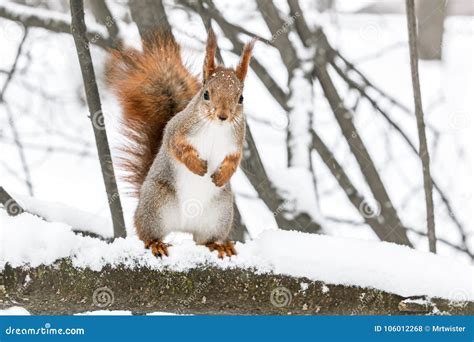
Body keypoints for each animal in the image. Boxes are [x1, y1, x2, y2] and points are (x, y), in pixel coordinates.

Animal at [106, 30, 256, 258]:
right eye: (206, 94)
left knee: (204, 240)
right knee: (147, 233)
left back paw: (219, 245)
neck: (215, 128)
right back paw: (155, 243)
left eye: (241, 98)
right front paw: (196, 165)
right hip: (156, 205)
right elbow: (177, 147)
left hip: (219, 215)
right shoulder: (176, 131)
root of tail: (184, 225)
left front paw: (223, 175)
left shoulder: (236, 142)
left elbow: (234, 160)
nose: (223, 116)